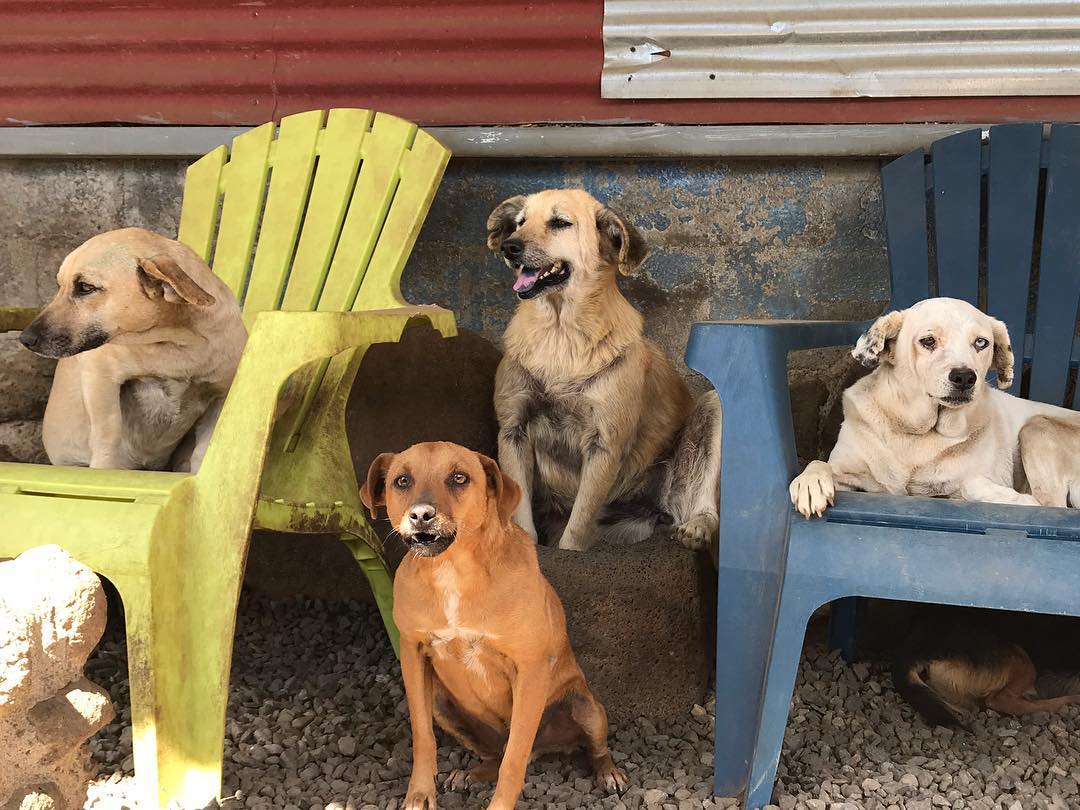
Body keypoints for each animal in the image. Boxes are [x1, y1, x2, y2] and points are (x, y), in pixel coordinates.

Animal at [20, 225, 245, 473]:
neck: (176, 345)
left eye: (86, 288)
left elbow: (203, 451)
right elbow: (109, 436)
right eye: (59, 286)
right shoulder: (101, 377)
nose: (25, 339)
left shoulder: (220, 396)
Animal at [360, 444, 626, 810]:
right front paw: (420, 794)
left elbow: (514, 760)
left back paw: (608, 772)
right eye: (402, 480)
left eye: (459, 477)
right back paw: (472, 773)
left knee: (586, 749)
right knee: (494, 755)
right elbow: (423, 737)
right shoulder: (413, 656)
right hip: (442, 705)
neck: (453, 571)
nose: (421, 515)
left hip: (587, 706)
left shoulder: (529, 669)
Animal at [682, 122, 1080, 810]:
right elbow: (818, 464)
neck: (915, 436)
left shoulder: (964, 477)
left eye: (982, 343)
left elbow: (971, 486)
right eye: (926, 341)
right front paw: (809, 486)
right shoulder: (855, 469)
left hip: (1042, 429)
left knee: (1051, 502)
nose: (965, 377)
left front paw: (988, 494)